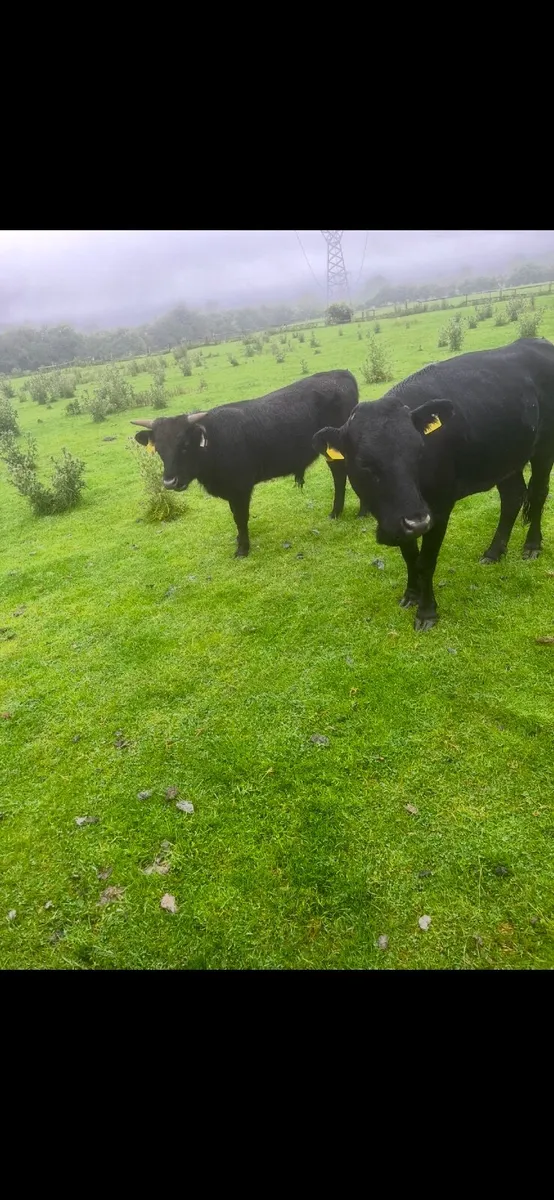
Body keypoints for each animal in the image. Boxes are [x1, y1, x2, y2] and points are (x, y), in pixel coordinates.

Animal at [132, 370, 361, 557]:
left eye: (185, 445)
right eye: (159, 449)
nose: (170, 482)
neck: (215, 442)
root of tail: (341, 373)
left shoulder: (240, 488)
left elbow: (240, 517)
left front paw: (242, 548)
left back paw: (351, 512)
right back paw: (337, 512)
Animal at [313, 338, 554, 630]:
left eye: (419, 451)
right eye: (364, 463)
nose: (416, 521)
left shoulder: (437, 508)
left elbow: (426, 561)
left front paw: (427, 612)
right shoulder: (402, 516)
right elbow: (409, 556)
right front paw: (411, 594)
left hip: (544, 448)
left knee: (538, 493)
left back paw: (532, 546)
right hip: (506, 457)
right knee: (513, 498)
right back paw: (494, 552)